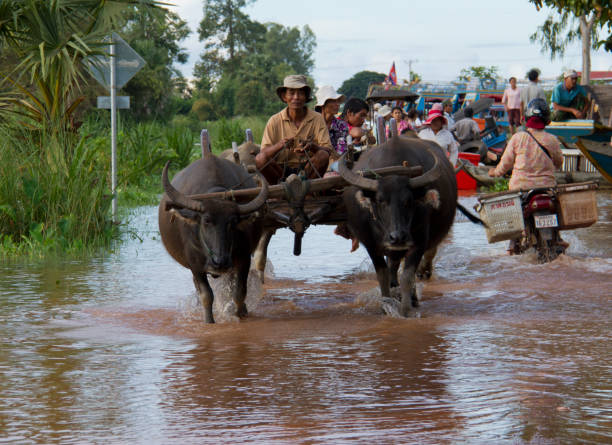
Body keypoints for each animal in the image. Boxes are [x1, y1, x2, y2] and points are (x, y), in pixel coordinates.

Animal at [160, 153, 268, 322]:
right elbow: (207, 296)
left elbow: (239, 293)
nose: (220, 262)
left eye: (233, 223)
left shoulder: (243, 260)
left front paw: (240, 315)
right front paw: (209, 321)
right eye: (206, 221)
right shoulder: (195, 266)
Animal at [340, 136, 460, 316]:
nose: (398, 237)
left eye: (408, 201)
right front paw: (385, 305)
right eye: (380, 200)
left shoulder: (418, 243)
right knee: (392, 268)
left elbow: (407, 276)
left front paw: (405, 309)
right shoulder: (371, 245)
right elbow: (382, 275)